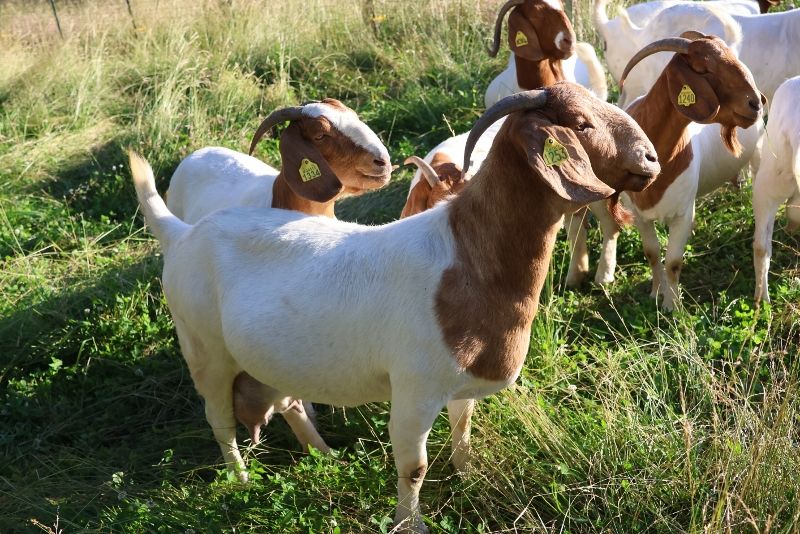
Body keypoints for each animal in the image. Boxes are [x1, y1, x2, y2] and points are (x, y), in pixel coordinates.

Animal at [568, 34, 763, 310]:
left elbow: (673, 262)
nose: (756, 102)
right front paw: (655, 293)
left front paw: (673, 306)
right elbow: (652, 253)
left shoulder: (683, 213)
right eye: (703, 68)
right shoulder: (639, 214)